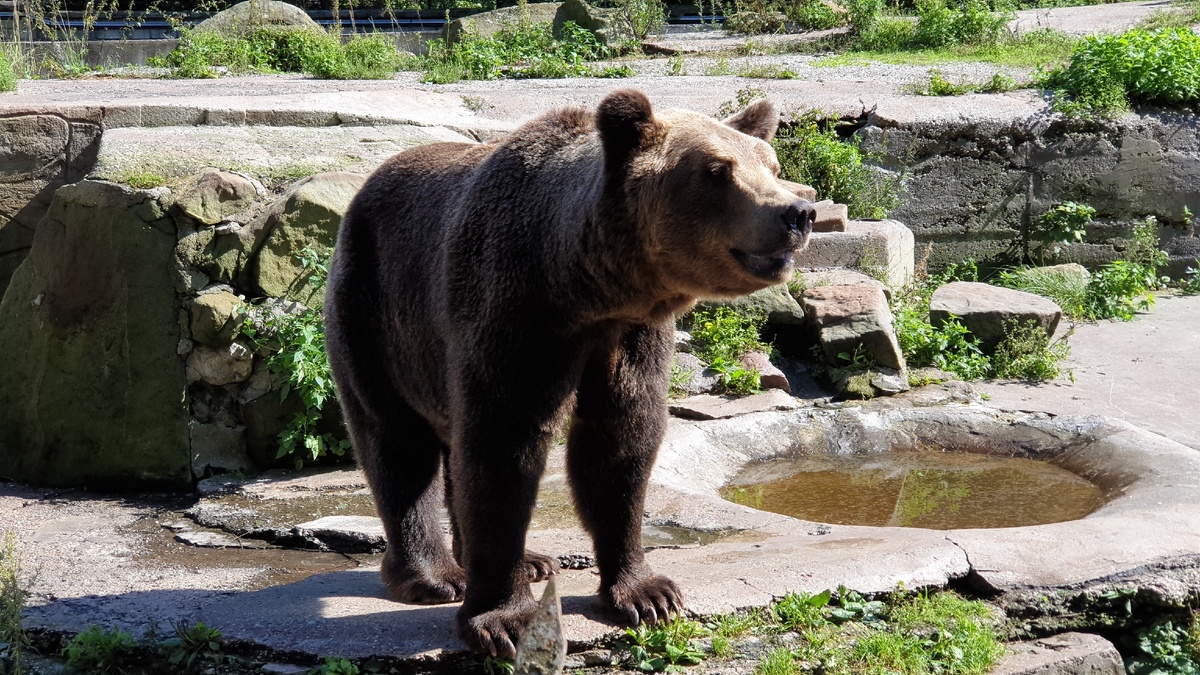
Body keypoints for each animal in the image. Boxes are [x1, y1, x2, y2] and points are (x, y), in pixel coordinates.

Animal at [324, 86, 820, 653]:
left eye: (772, 165)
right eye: (717, 170)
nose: (798, 213)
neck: (581, 285)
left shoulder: (630, 335)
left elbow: (620, 443)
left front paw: (647, 594)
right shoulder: (515, 314)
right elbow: (504, 444)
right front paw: (504, 620)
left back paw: (533, 560)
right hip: (376, 311)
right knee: (396, 441)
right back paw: (436, 576)